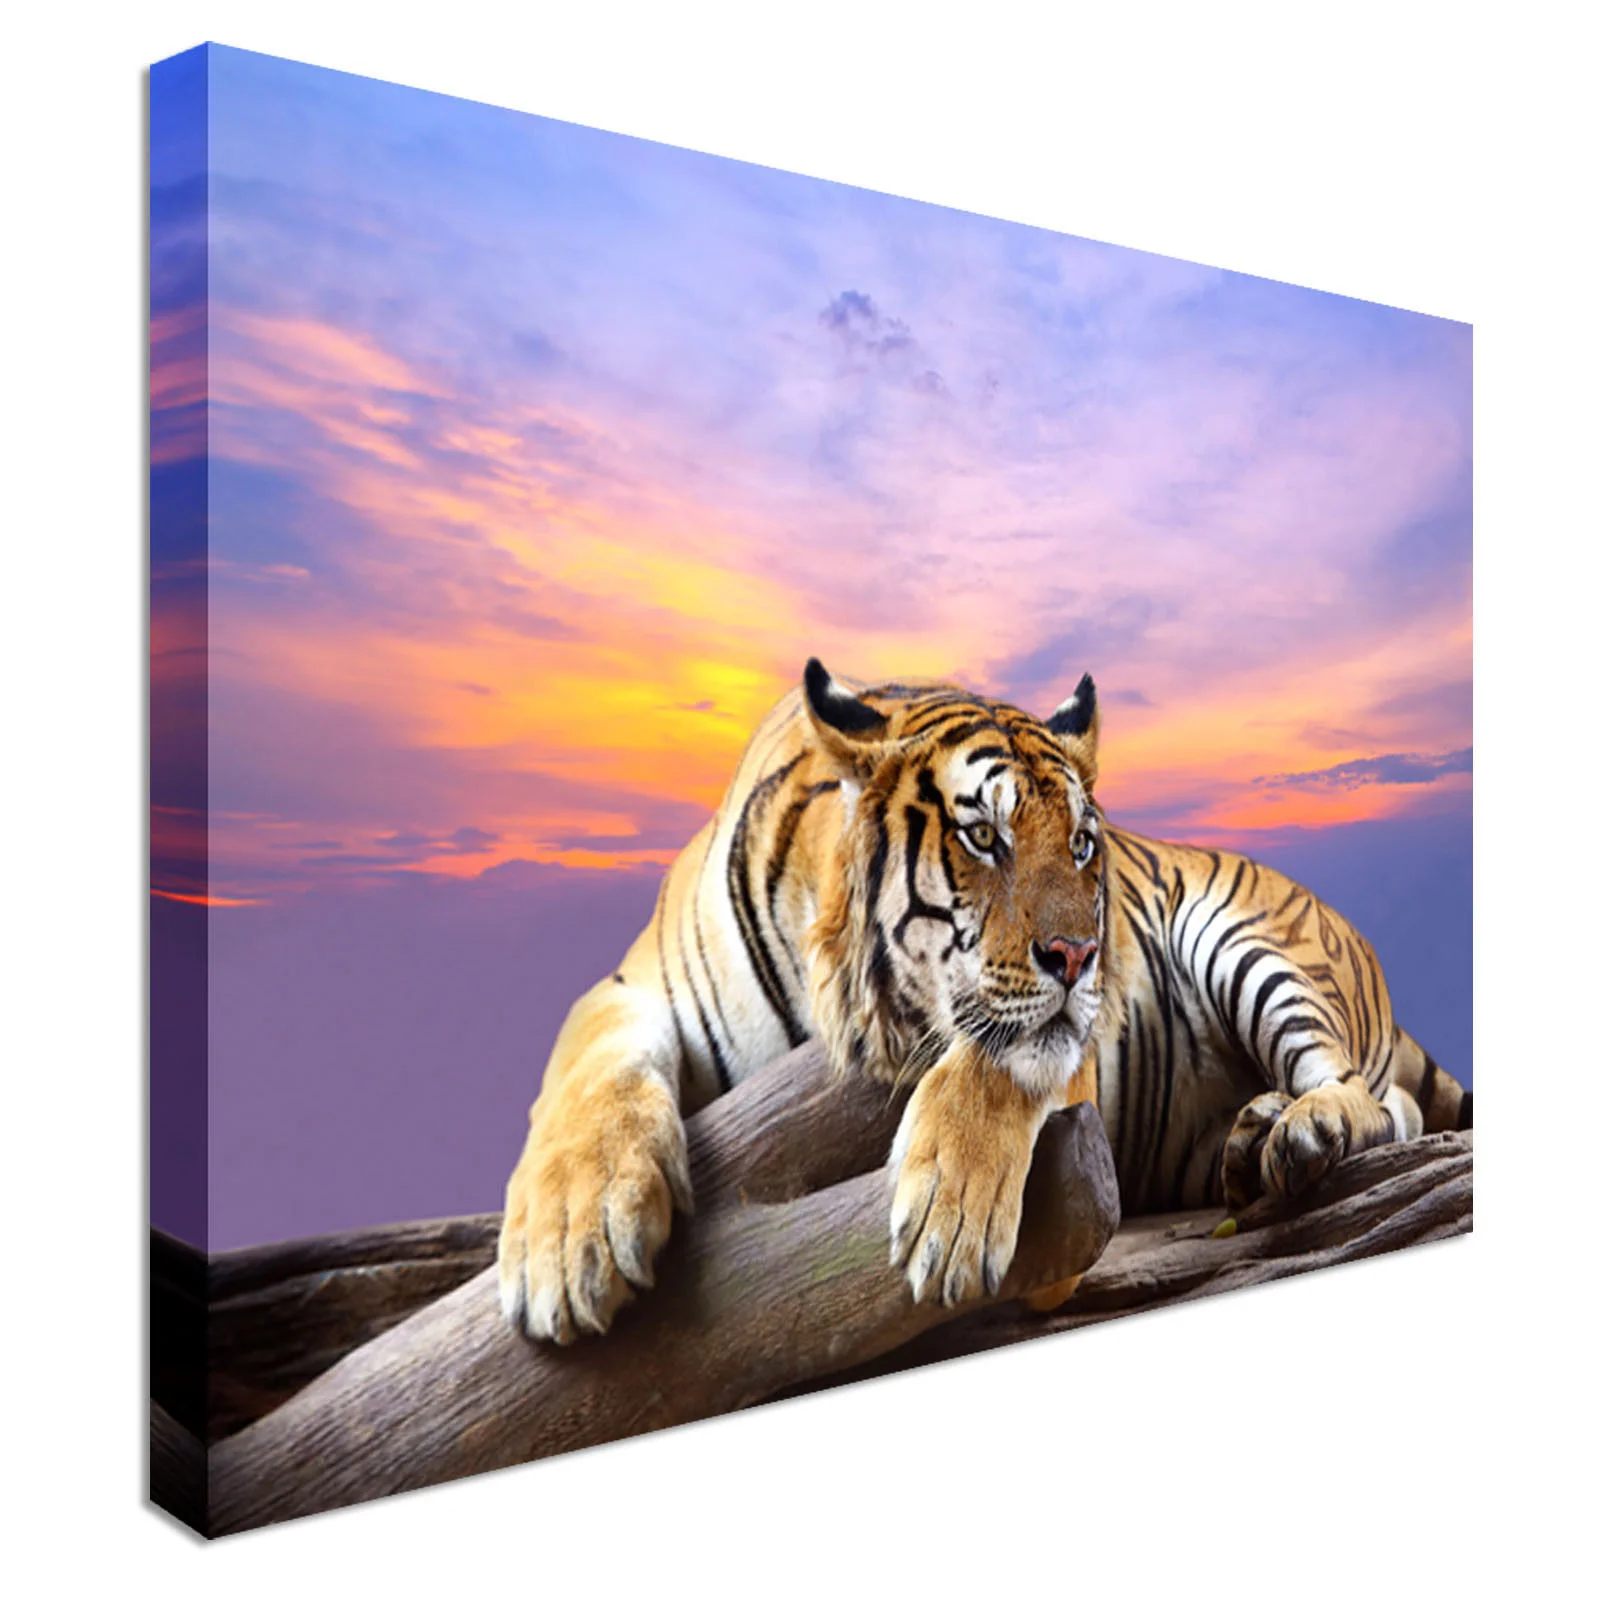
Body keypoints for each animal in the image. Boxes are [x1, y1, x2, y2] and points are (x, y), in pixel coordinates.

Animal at [497, 661, 1470, 1342]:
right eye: (982, 836)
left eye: (1082, 844)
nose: (1084, 957)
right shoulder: (630, 986)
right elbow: (588, 1075)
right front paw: (569, 1248)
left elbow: (998, 1064)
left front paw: (951, 1219)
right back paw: (1255, 1134)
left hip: (1252, 941)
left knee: (1381, 1101)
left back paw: (1304, 1131)